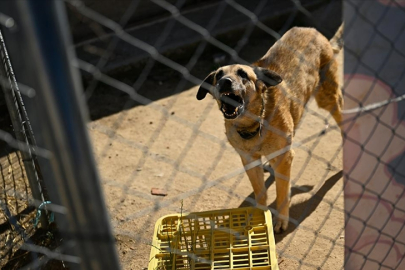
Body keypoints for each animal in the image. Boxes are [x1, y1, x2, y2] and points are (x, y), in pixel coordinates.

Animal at [196, 25, 340, 232]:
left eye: (243, 74)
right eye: (218, 76)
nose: (225, 82)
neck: (253, 124)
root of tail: (312, 30)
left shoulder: (283, 158)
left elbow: (282, 193)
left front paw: (281, 220)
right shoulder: (249, 161)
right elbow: (260, 192)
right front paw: (260, 218)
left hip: (327, 97)